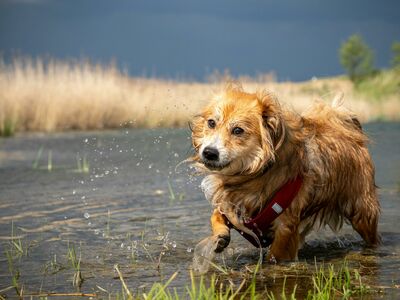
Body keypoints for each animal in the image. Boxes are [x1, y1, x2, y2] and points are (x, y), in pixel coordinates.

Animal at [191, 82, 382, 262]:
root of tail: (350, 133)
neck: (253, 175)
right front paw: (220, 236)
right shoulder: (235, 205)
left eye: (238, 130)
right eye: (211, 123)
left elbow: (276, 255)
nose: (209, 152)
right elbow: (216, 215)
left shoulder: (286, 226)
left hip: (362, 213)